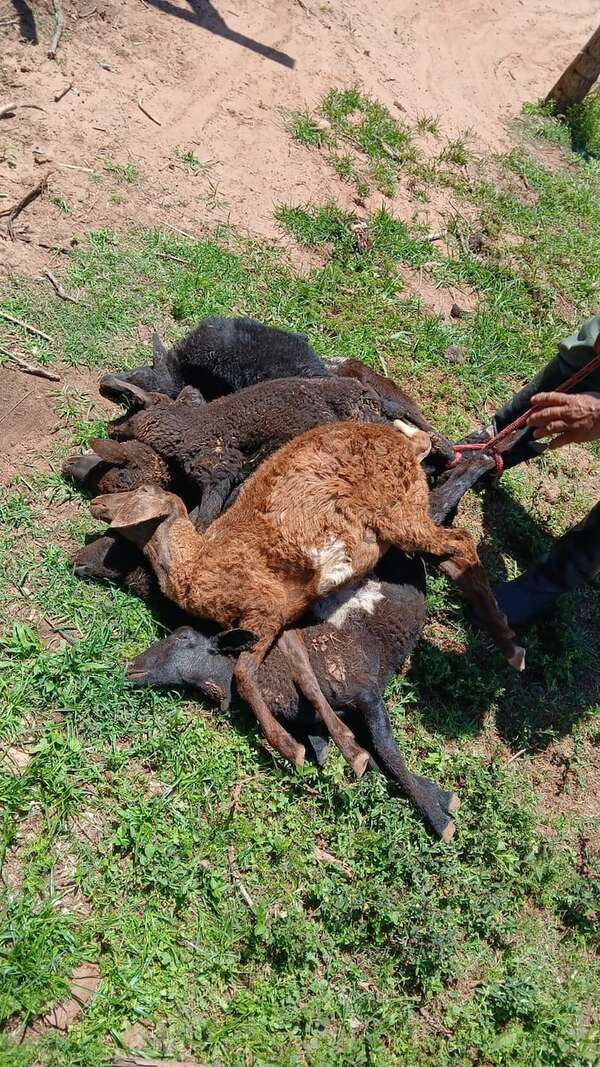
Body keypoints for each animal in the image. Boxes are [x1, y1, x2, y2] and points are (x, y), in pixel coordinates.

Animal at [90, 419, 524, 791]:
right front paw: (352, 751)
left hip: (399, 512)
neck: (196, 565)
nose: (97, 503)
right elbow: (304, 673)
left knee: (461, 542)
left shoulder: (263, 611)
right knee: (453, 555)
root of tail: (404, 445)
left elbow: (243, 676)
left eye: (142, 492)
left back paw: (511, 648)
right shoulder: (284, 619)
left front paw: (291, 748)